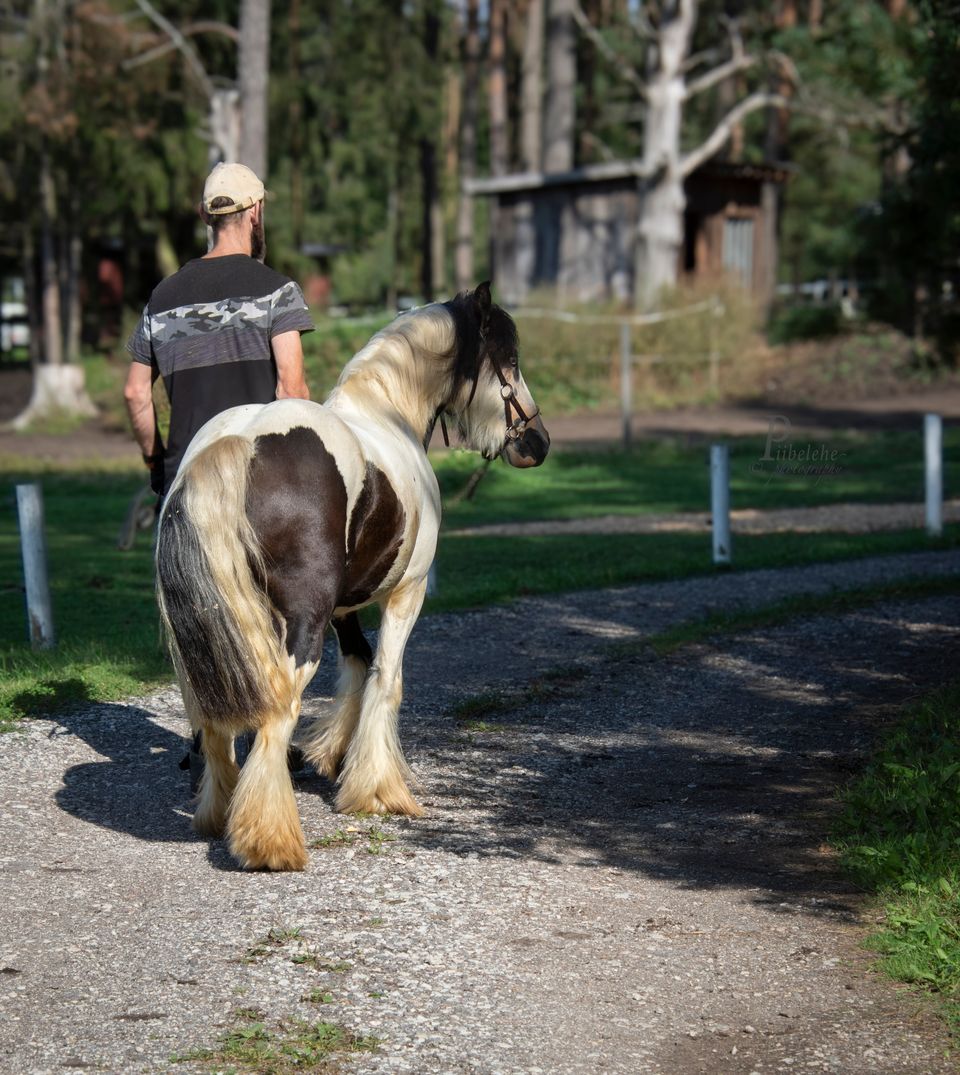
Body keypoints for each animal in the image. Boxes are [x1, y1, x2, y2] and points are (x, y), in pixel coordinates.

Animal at [155, 285, 546, 872]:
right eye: (511, 360)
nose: (538, 442)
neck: (386, 415)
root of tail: (239, 442)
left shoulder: (345, 609)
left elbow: (358, 668)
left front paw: (338, 758)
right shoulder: (405, 594)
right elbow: (386, 678)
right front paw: (377, 791)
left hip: (209, 631)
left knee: (216, 717)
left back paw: (219, 812)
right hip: (299, 628)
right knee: (276, 712)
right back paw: (269, 841)